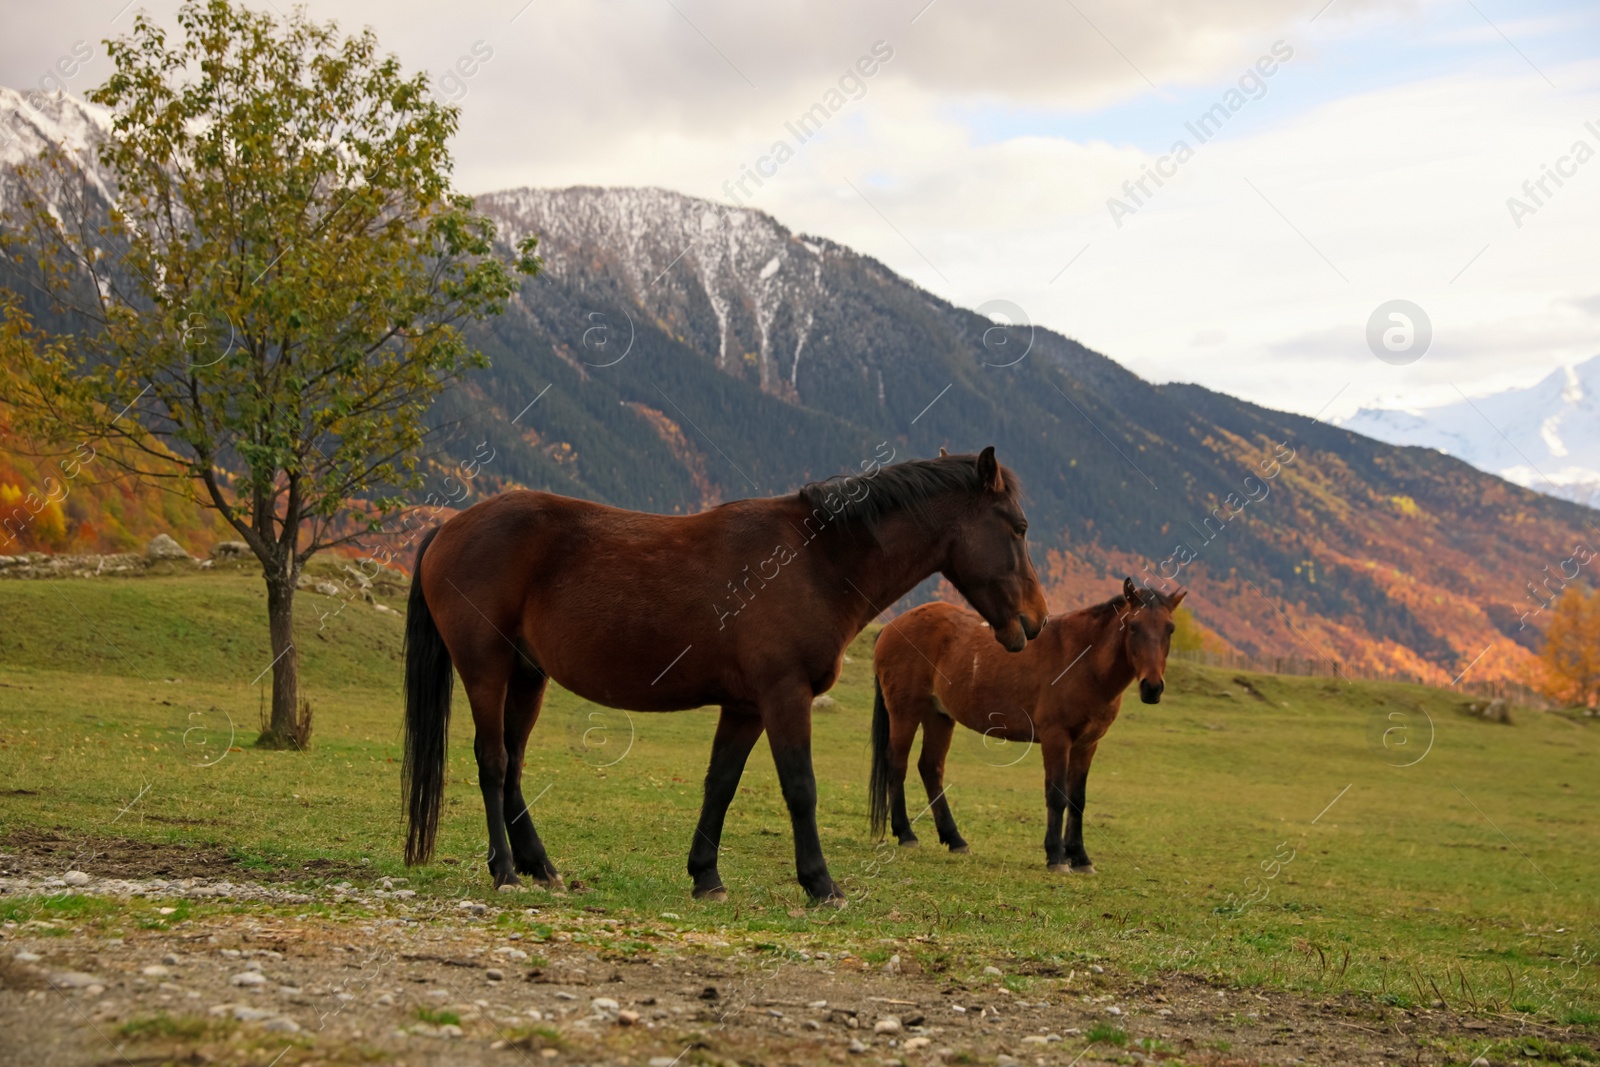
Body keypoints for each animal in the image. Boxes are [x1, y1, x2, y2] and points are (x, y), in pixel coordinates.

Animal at [403, 447, 1049, 908]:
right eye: (1017, 527)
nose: (1036, 622)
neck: (815, 563)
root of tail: (449, 528)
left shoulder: (744, 708)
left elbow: (721, 784)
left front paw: (705, 876)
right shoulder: (784, 697)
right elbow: (800, 787)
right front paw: (821, 885)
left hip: (527, 677)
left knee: (513, 764)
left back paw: (541, 867)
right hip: (486, 669)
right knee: (493, 761)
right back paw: (505, 872)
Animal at [870, 579, 1184, 870]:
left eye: (1170, 629)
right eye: (1134, 626)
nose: (1152, 688)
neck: (1083, 661)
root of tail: (891, 626)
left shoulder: (1087, 744)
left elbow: (1077, 799)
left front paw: (1080, 857)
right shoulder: (1057, 739)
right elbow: (1057, 795)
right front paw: (1056, 856)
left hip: (939, 717)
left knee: (930, 768)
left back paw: (955, 839)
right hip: (906, 712)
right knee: (897, 764)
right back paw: (906, 833)